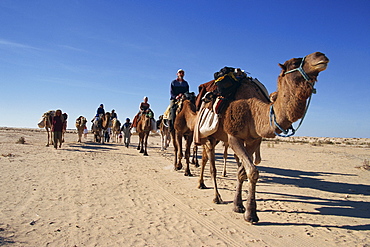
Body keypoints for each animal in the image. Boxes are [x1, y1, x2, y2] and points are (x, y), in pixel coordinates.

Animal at [199, 52, 330, 224]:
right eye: (295, 62)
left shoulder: (254, 140)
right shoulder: (233, 137)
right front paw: (251, 214)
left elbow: (243, 172)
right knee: (210, 165)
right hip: (209, 135)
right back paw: (214, 195)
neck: (254, 111)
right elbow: (252, 171)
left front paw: (238, 205)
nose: (321, 56)